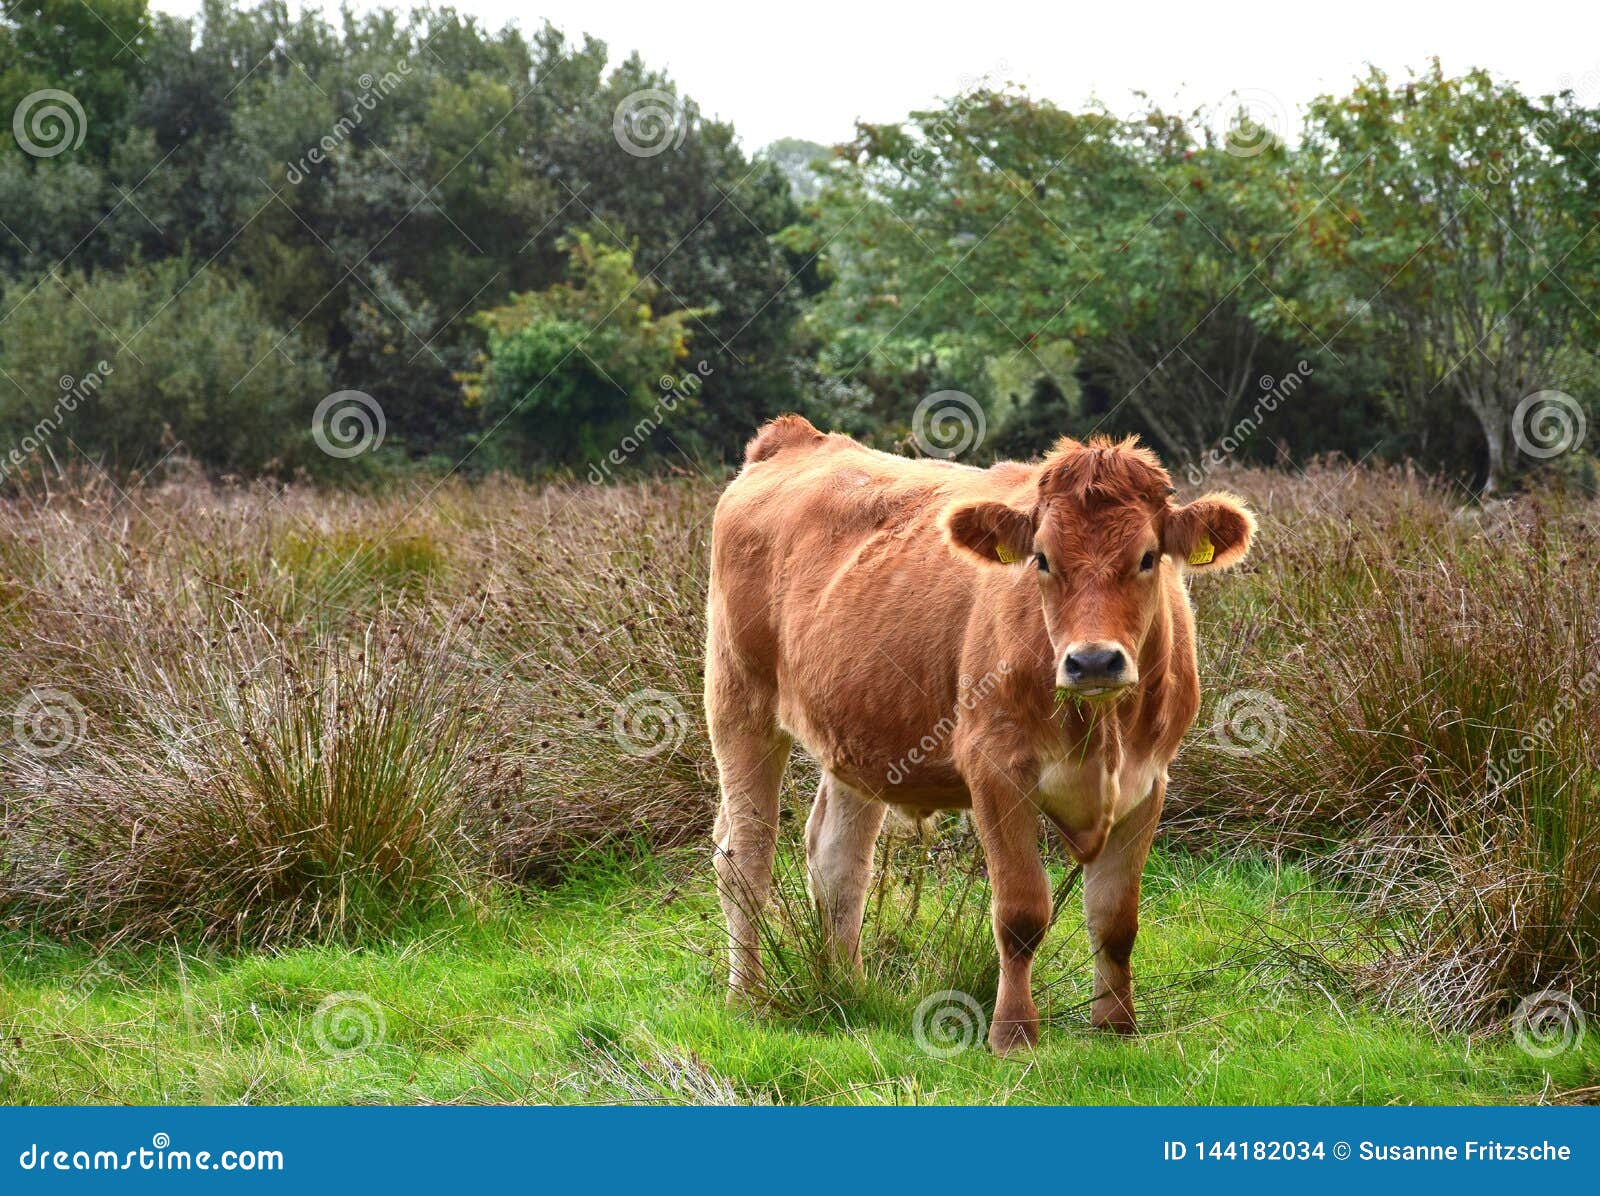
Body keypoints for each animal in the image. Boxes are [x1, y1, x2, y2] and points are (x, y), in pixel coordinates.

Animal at [704, 414, 1255, 1052]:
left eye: (1147, 558)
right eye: (1042, 559)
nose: (1093, 661)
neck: (1101, 729)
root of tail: (796, 439)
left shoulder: (1149, 780)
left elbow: (1116, 917)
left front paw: (1117, 1026)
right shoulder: (996, 769)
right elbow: (1020, 912)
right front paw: (1012, 1033)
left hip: (855, 732)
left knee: (838, 862)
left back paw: (847, 988)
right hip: (738, 700)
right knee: (745, 856)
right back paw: (748, 998)